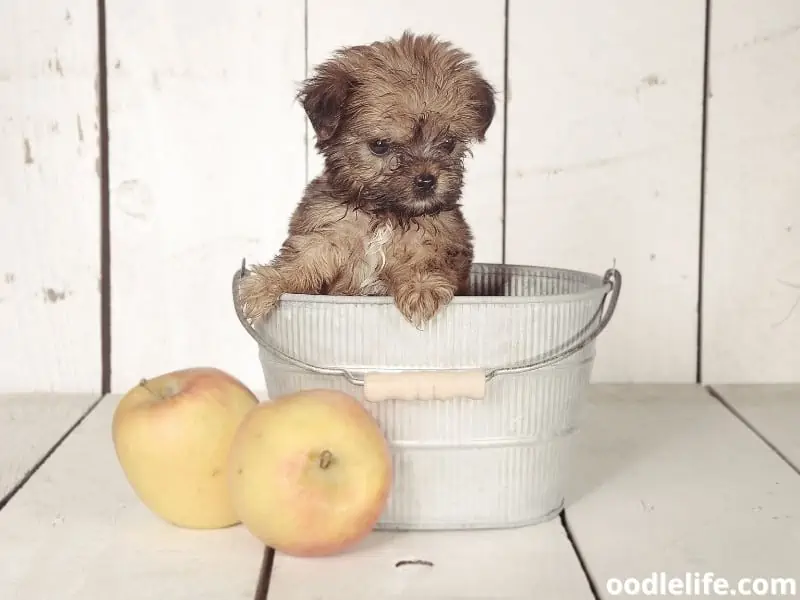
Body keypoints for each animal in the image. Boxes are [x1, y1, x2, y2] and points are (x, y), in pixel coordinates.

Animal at [239, 30, 494, 328]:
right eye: (380, 146)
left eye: (448, 143)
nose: (427, 180)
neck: (385, 214)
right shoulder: (327, 233)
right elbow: (302, 258)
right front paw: (268, 283)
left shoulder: (440, 237)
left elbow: (427, 258)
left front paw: (422, 288)